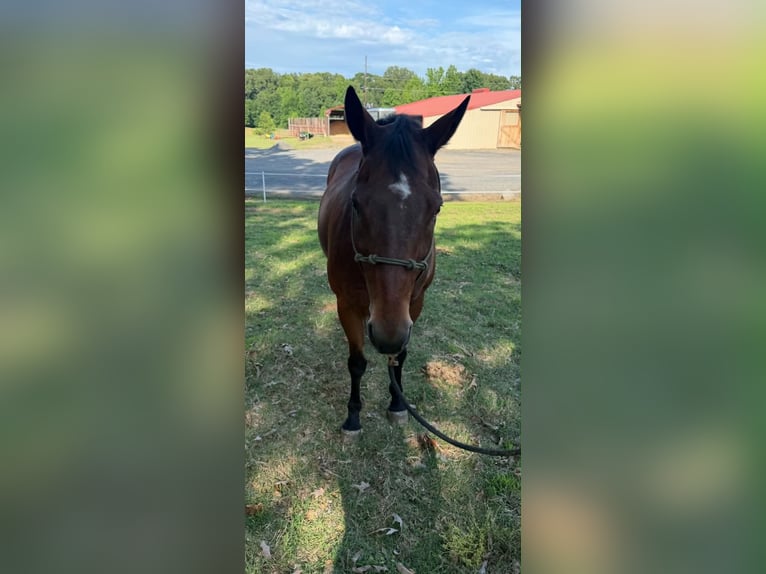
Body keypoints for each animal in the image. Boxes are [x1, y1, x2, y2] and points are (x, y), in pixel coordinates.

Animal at [317, 86, 469, 436]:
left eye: (437, 207)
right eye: (356, 203)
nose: (388, 333)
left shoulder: (414, 303)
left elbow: (399, 357)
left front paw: (398, 404)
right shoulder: (347, 304)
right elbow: (357, 362)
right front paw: (353, 417)